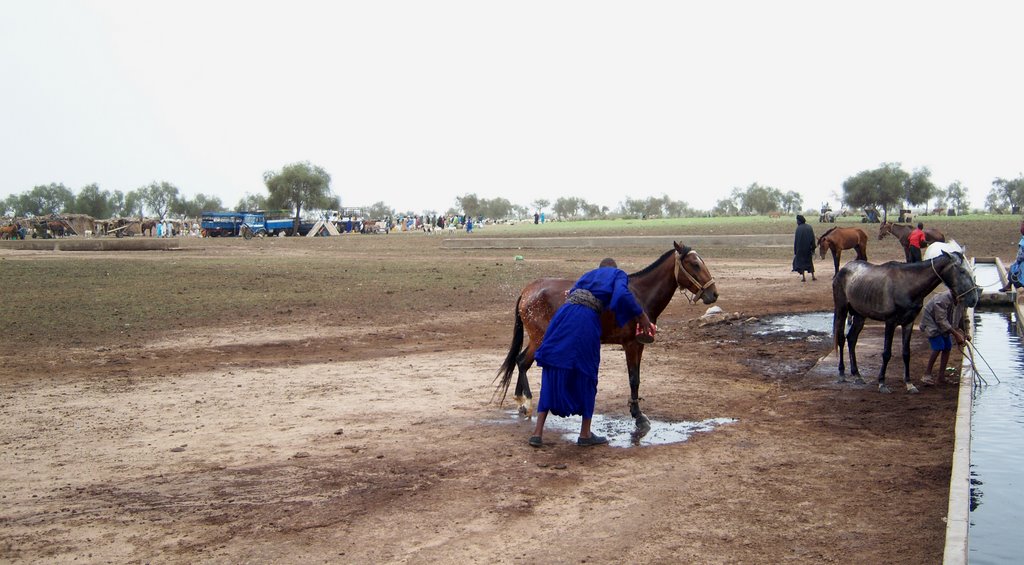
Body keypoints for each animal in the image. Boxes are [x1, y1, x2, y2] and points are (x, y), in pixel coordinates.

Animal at [495, 241, 720, 431]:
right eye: (694, 264)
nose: (714, 294)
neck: (639, 296)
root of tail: (527, 291)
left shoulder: (639, 345)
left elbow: (636, 378)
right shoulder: (631, 344)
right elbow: (634, 379)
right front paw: (638, 416)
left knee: (520, 361)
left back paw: (521, 402)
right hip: (539, 337)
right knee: (523, 362)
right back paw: (527, 402)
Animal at [827, 251, 978, 393]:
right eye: (962, 271)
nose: (974, 299)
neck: (908, 284)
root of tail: (843, 269)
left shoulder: (908, 322)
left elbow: (906, 353)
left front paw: (909, 384)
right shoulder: (890, 322)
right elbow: (886, 353)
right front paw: (882, 383)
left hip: (860, 315)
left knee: (852, 339)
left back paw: (857, 374)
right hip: (841, 309)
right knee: (841, 338)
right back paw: (841, 373)